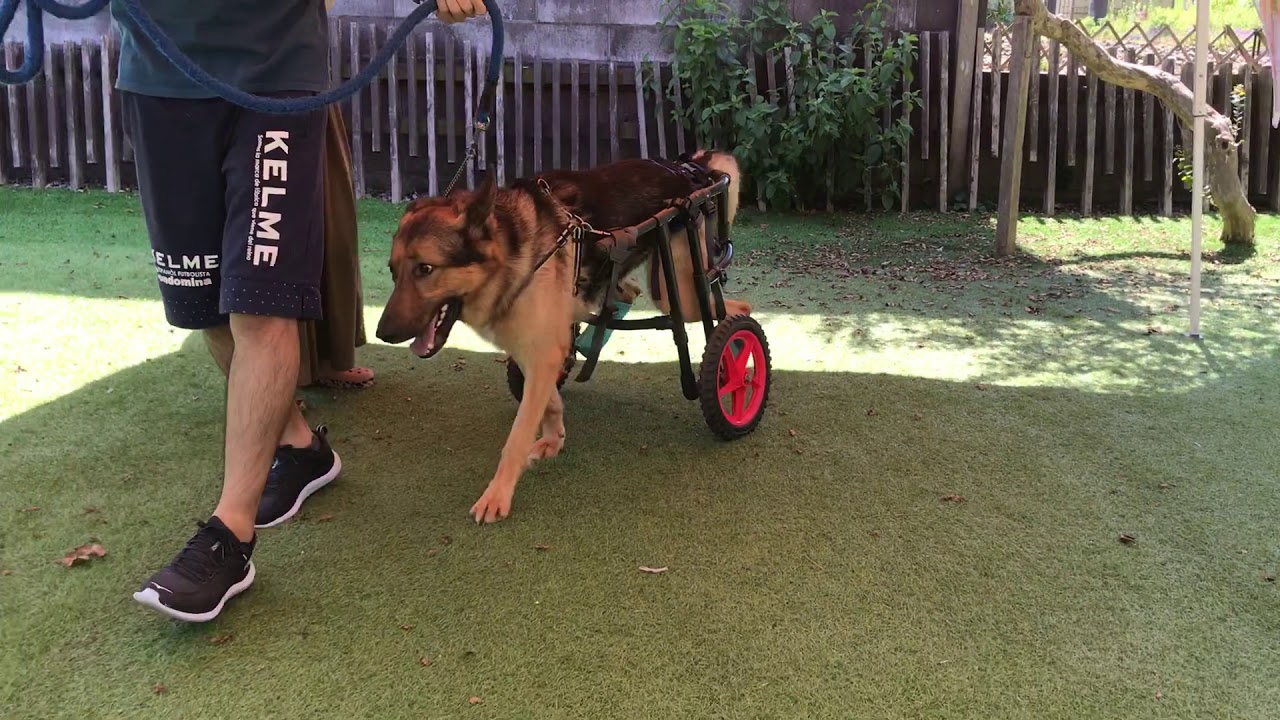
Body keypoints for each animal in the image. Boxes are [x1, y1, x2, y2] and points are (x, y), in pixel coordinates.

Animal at [373, 149, 747, 520]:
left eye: (425, 269)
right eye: (393, 271)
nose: (382, 333)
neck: (513, 253)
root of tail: (688, 165)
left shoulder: (539, 352)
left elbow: (517, 436)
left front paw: (497, 494)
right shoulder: (533, 348)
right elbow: (547, 401)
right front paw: (554, 438)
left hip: (680, 294)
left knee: (730, 308)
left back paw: (737, 359)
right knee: (629, 292)